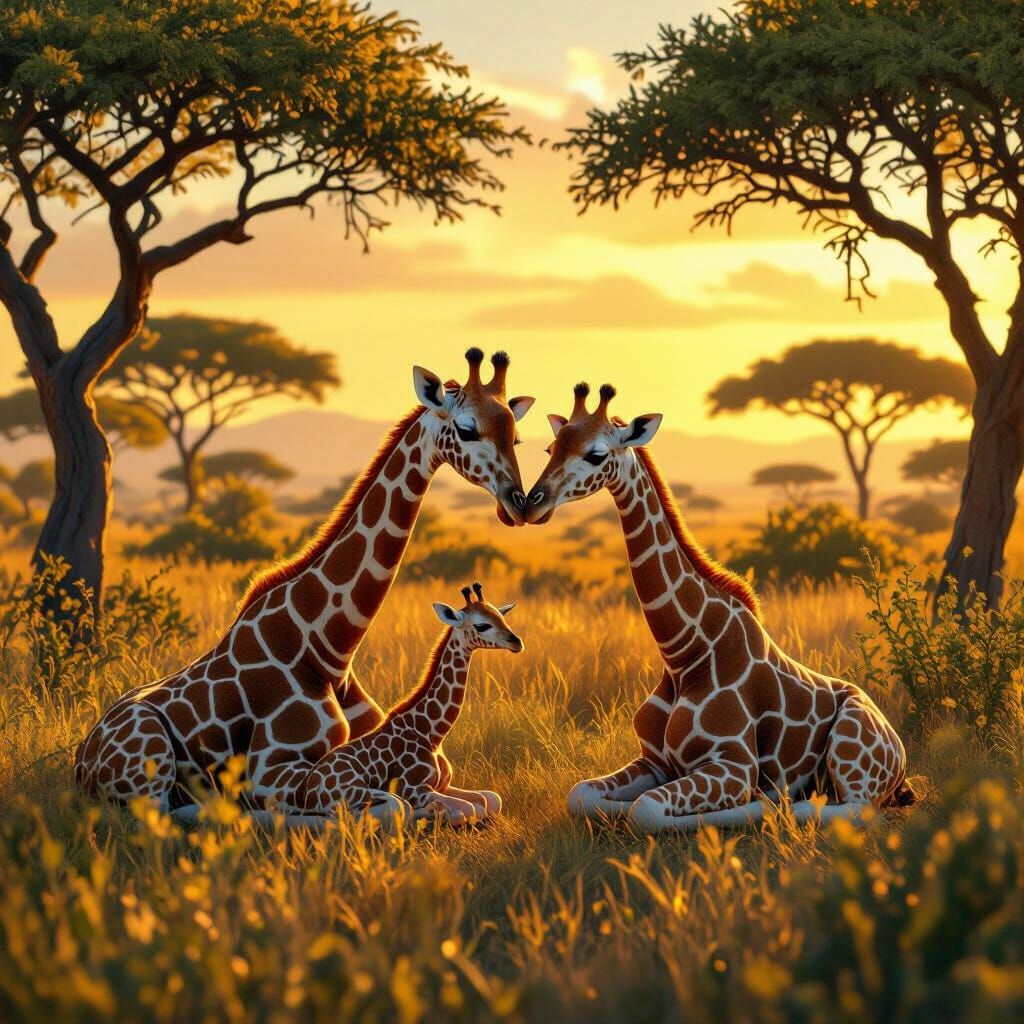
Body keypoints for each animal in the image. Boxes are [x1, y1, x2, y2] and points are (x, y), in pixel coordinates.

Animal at [300, 582, 522, 828]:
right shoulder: (416, 789)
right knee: (379, 811)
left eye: (501, 618)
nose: (517, 642)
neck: (432, 733)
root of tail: (307, 792)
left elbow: (489, 799)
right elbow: (468, 809)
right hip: (355, 795)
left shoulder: (444, 785)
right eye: (482, 625)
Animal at [524, 382, 913, 834]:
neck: (683, 654)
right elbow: (581, 794)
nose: (531, 503)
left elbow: (647, 809)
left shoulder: (734, 764)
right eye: (551, 447)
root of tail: (900, 753)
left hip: (854, 746)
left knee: (852, 809)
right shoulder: (654, 761)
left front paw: (758, 805)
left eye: (597, 454)